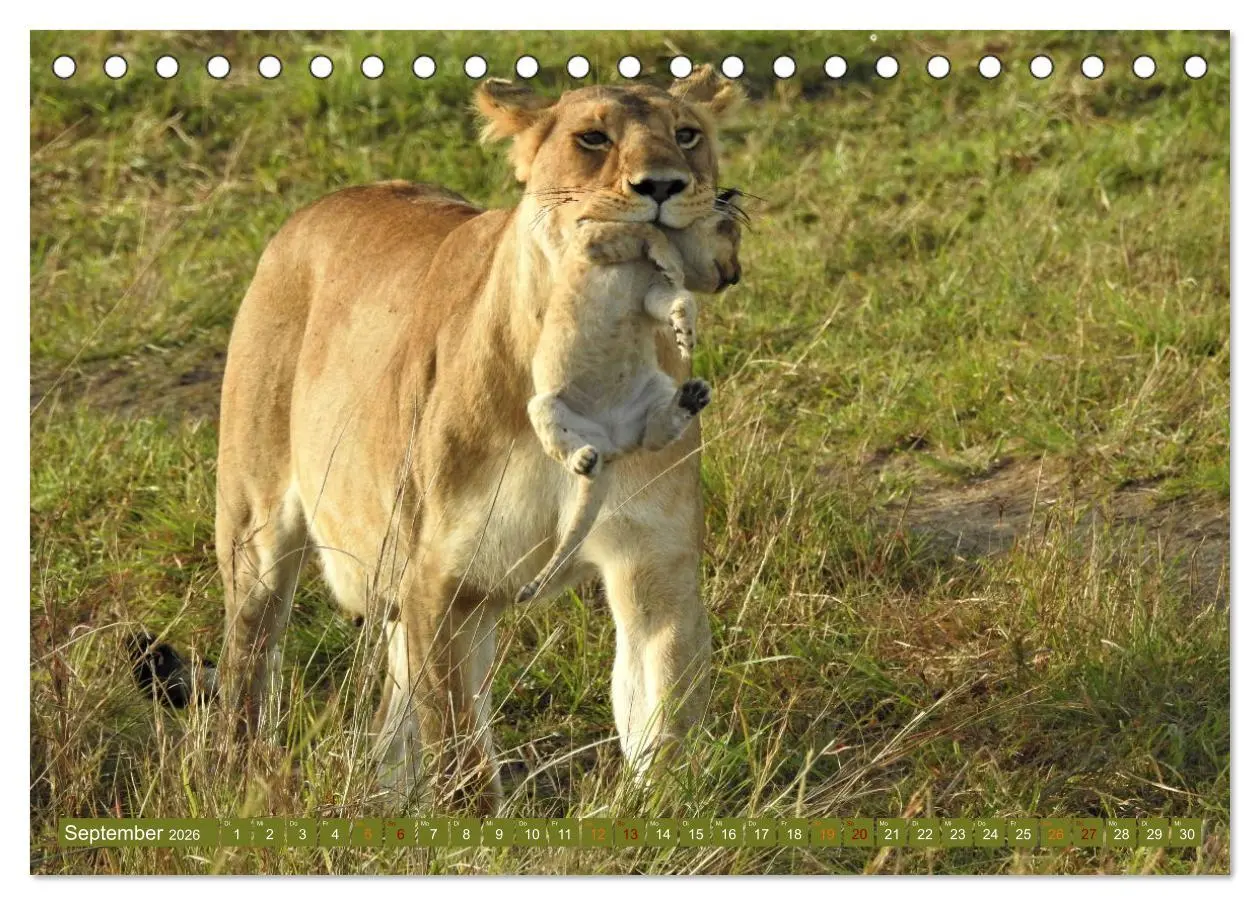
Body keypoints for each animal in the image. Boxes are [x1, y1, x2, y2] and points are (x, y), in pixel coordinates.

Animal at [518, 203, 743, 604]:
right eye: (734, 235)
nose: (738, 275)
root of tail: (611, 447)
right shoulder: (592, 239)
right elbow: (648, 234)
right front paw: (667, 257)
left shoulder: (653, 293)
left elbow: (679, 298)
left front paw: (685, 334)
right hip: (543, 405)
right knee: (560, 443)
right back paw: (583, 459)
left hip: (657, 387)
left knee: (652, 438)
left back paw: (691, 397)